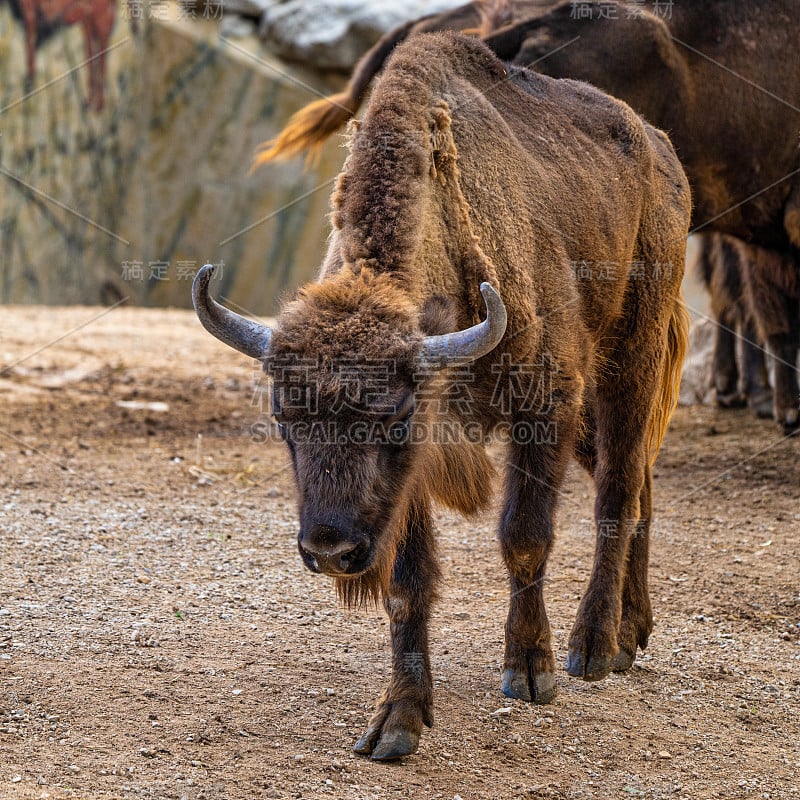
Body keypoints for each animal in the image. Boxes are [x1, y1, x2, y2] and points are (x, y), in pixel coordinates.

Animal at [192, 29, 688, 756]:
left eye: (393, 419)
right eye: (285, 419)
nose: (330, 549)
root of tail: (659, 145)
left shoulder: (545, 406)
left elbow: (524, 536)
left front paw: (531, 672)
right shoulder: (419, 473)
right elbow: (409, 580)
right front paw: (397, 720)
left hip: (631, 358)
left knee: (619, 490)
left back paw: (596, 648)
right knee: (640, 482)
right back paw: (633, 631)